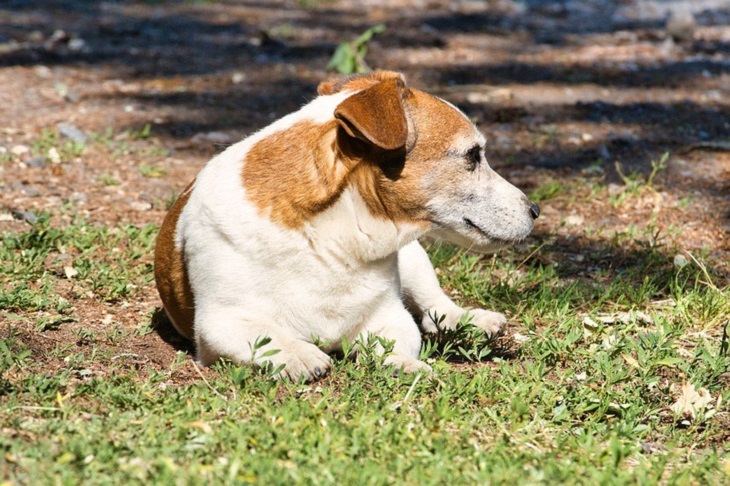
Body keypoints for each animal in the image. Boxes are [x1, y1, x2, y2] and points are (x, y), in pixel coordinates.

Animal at [152, 71, 536, 380]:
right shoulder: (219, 324)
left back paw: (471, 318)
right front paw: (299, 354)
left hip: (414, 260)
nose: (534, 210)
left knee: (434, 307)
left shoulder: (389, 316)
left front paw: (404, 363)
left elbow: (399, 339)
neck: (331, 234)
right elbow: (268, 337)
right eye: (473, 155)